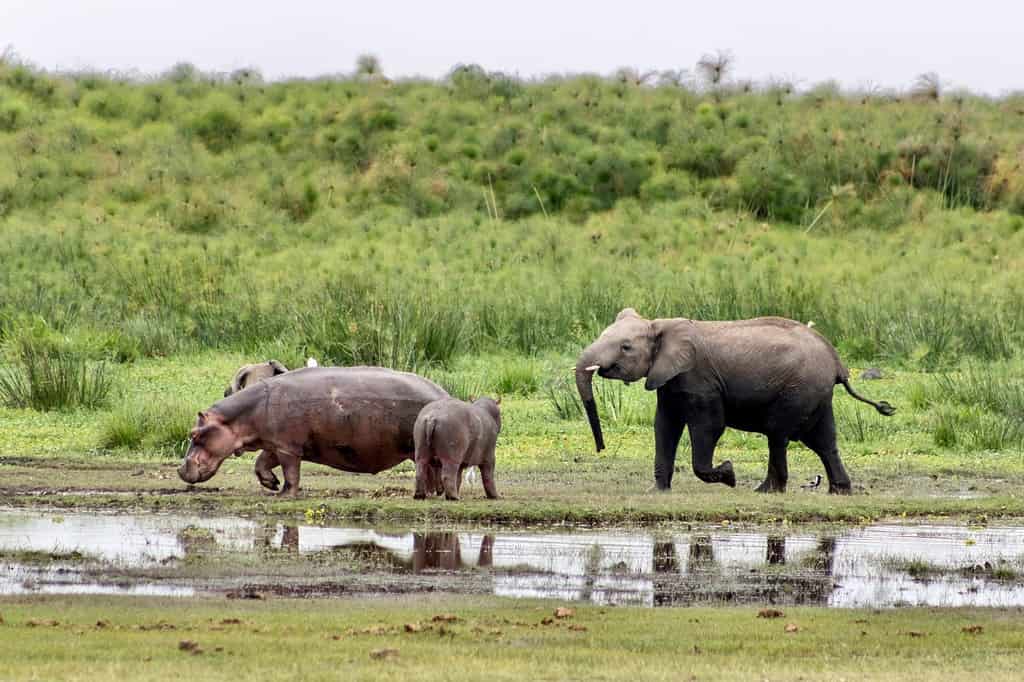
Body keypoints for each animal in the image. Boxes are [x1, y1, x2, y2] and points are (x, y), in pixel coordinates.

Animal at [575, 309, 895, 494]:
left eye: (626, 347)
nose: (601, 449)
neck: (659, 325)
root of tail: (838, 363)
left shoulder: (701, 380)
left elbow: (709, 427)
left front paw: (728, 475)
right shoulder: (670, 380)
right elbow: (665, 426)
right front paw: (658, 492)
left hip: (799, 390)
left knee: (779, 435)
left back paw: (766, 491)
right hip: (816, 394)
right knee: (823, 441)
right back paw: (839, 492)